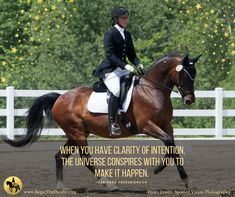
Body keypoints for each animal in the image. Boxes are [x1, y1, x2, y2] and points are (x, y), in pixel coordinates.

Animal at [3, 53, 201, 192]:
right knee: (86, 159)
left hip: (74, 134)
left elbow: (173, 147)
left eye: (194, 74)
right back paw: (109, 184)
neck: (152, 91)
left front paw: (186, 181)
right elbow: (167, 141)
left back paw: (61, 186)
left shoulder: (167, 126)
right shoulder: (147, 126)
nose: (189, 100)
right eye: (185, 75)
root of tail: (60, 98)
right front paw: (158, 169)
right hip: (78, 133)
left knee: (59, 156)